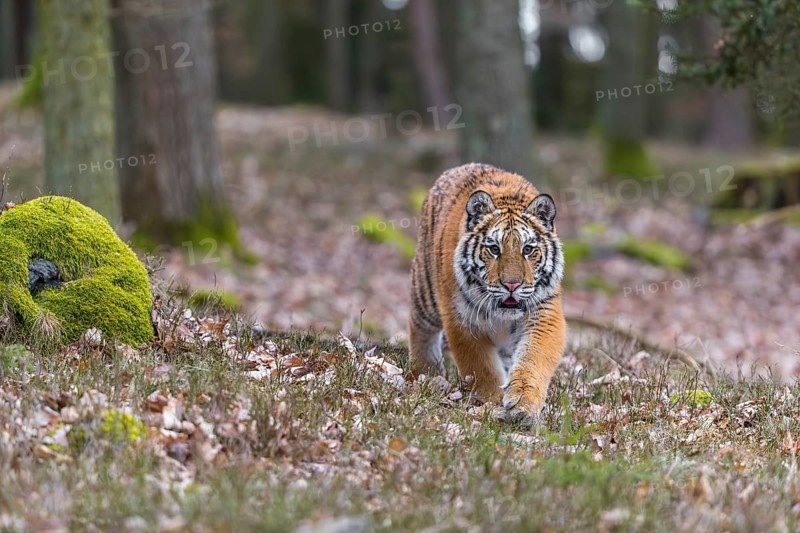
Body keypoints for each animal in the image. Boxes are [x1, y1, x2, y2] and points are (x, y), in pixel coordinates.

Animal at [408, 163, 566, 424]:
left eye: (528, 249)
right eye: (493, 249)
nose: (512, 284)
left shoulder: (543, 311)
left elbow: (533, 358)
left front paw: (523, 404)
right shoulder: (461, 318)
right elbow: (481, 368)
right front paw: (492, 402)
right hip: (426, 292)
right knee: (418, 325)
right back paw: (426, 372)